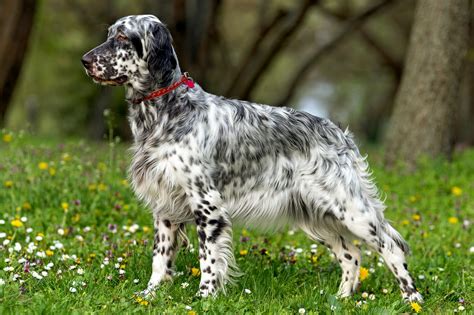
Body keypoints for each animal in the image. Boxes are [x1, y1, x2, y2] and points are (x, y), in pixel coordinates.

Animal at [81, 14, 422, 304]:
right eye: (109, 34)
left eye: (123, 37)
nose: (84, 61)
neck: (168, 112)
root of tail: (339, 132)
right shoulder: (165, 206)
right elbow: (160, 259)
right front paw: (150, 295)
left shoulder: (207, 205)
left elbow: (208, 259)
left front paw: (204, 297)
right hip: (315, 216)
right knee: (351, 255)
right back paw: (342, 299)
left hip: (350, 210)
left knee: (391, 246)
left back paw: (412, 298)